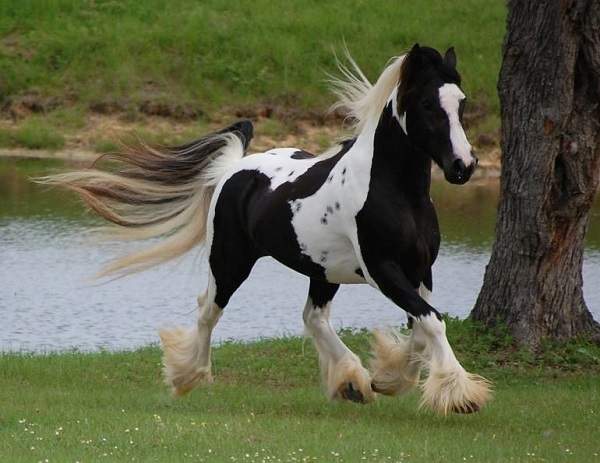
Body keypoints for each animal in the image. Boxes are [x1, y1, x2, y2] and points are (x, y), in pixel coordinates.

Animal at [41, 43, 492, 414]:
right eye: (427, 104)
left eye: (461, 103)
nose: (464, 166)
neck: (392, 190)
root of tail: (233, 169)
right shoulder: (383, 269)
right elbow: (431, 320)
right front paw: (461, 395)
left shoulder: (421, 269)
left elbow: (422, 324)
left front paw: (389, 378)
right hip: (230, 260)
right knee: (209, 310)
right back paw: (188, 376)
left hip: (321, 270)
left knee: (313, 318)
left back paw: (351, 381)